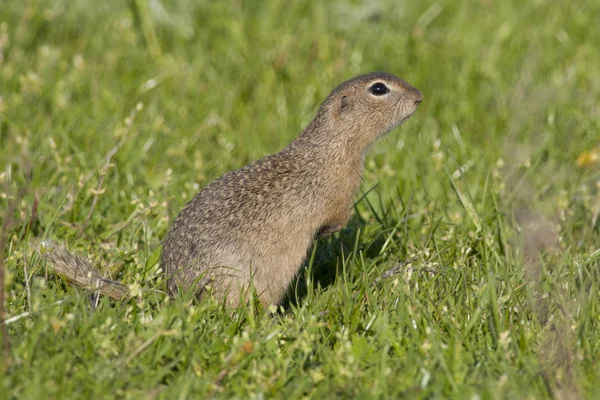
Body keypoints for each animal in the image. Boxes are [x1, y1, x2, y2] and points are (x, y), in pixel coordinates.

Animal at [39, 72, 422, 306]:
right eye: (378, 89)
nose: (419, 97)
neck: (333, 145)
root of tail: (173, 297)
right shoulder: (338, 195)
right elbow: (335, 219)